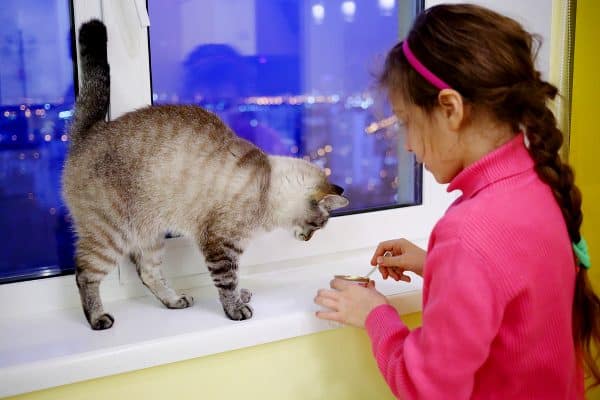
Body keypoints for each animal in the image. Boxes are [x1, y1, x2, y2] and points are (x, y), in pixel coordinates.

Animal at [63, 20, 350, 330]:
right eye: (318, 225)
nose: (307, 240)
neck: (268, 189)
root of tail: (89, 132)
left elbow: (234, 281)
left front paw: (242, 296)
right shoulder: (220, 245)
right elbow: (227, 283)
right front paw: (236, 309)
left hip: (149, 235)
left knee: (147, 273)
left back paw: (175, 301)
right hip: (111, 235)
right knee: (84, 274)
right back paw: (98, 318)